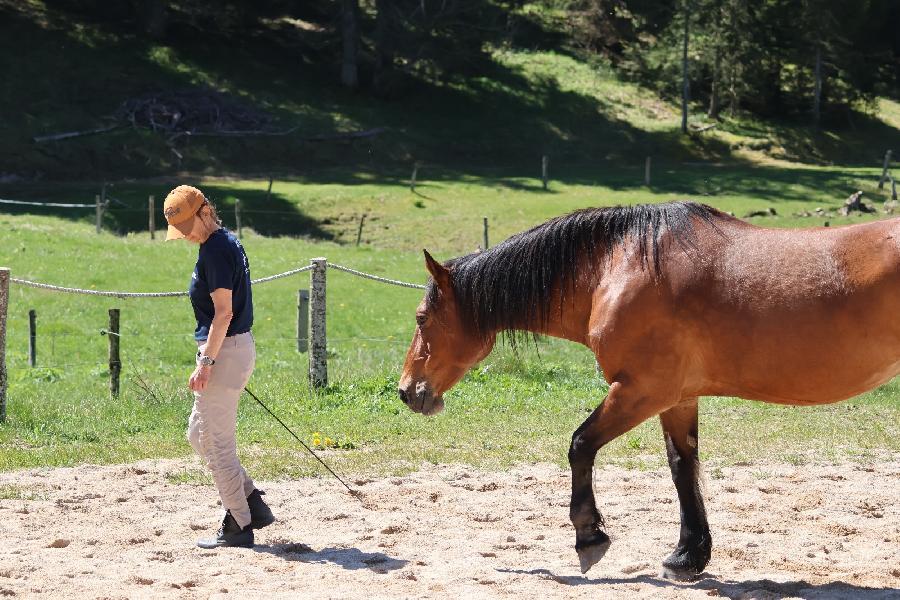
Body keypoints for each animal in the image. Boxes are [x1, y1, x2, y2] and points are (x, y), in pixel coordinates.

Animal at [400, 203, 900, 580]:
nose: (408, 391)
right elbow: (683, 467)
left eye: (422, 318)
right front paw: (688, 556)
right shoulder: (677, 398)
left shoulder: (641, 390)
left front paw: (589, 536)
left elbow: (580, 444)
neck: (617, 267)